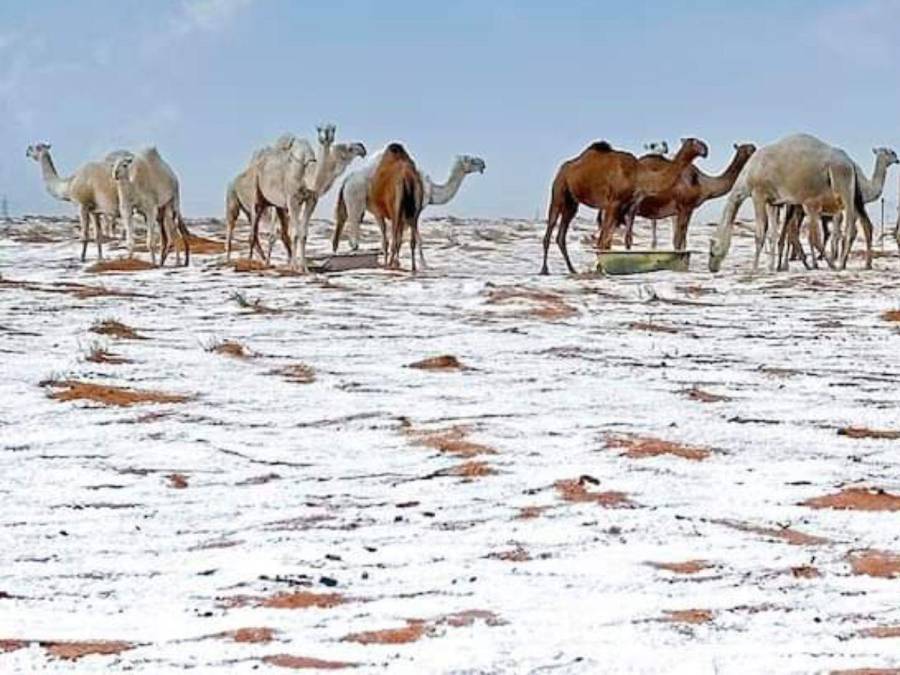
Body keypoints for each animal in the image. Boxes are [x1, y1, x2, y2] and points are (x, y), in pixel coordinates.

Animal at [330, 154, 486, 268]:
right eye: (472, 160)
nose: (483, 164)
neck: (432, 190)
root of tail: (347, 180)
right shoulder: (415, 209)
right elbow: (417, 239)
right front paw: (423, 264)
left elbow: (400, 238)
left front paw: (397, 261)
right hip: (356, 199)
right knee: (354, 223)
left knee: (343, 221)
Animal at [540, 137, 712, 274]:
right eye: (695, 141)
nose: (706, 150)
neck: (637, 175)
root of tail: (563, 168)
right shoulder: (613, 203)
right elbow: (603, 240)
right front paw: (601, 270)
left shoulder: (625, 206)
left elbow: (609, 240)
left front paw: (601, 268)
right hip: (559, 190)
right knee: (550, 227)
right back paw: (544, 270)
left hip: (572, 202)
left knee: (561, 235)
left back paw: (572, 269)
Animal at [712, 133, 864, 274]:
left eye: (712, 251)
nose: (711, 267)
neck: (748, 175)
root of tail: (850, 162)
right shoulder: (772, 202)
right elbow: (772, 234)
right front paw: (771, 267)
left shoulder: (758, 194)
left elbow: (760, 233)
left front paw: (754, 268)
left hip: (842, 180)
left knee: (848, 227)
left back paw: (838, 265)